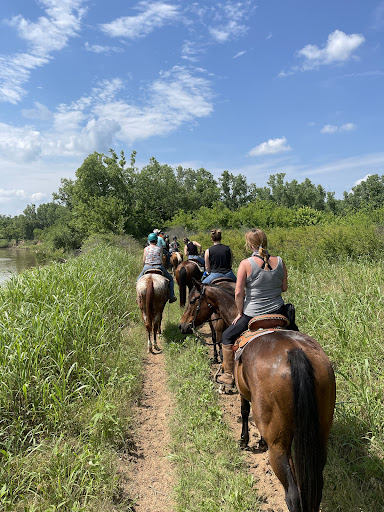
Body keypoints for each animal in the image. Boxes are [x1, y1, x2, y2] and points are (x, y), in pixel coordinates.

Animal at [178, 280, 334, 512]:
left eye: (193, 300)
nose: (182, 326)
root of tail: (295, 352)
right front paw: (260, 442)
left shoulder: (244, 390)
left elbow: (244, 411)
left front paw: (244, 440)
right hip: (320, 436)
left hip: (280, 448)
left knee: (293, 495)